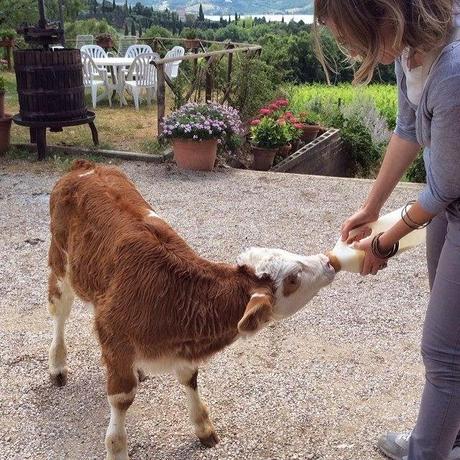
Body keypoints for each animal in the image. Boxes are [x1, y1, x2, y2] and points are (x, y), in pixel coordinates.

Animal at [47, 160, 334, 458]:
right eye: (293, 278)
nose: (328, 262)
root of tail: (87, 166)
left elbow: (189, 377)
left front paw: (203, 427)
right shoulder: (114, 334)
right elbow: (121, 399)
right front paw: (117, 449)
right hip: (60, 262)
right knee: (59, 311)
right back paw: (57, 365)